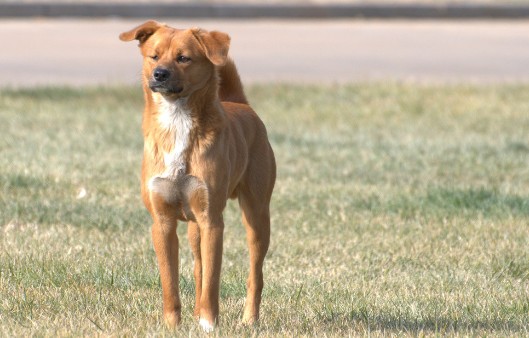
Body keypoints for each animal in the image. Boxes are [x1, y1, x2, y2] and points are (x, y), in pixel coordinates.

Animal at [119, 19, 276, 332]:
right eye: (154, 56)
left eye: (184, 58)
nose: (159, 74)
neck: (176, 121)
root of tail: (242, 104)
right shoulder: (162, 223)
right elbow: (171, 282)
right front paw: (172, 325)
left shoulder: (212, 221)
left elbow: (213, 282)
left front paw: (208, 324)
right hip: (193, 229)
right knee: (198, 270)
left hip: (256, 216)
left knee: (255, 274)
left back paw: (249, 319)